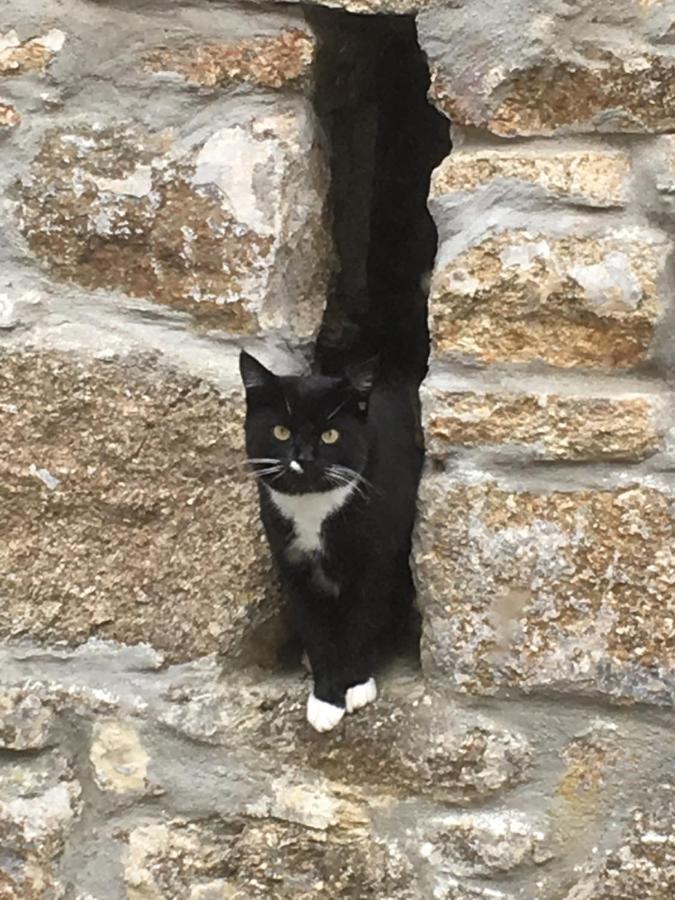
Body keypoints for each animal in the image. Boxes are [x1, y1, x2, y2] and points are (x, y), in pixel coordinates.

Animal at [240, 350, 422, 732]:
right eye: (281, 431)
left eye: (330, 435)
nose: (303, 458)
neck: (314, 510)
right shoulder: (292, 566)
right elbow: (315, 629)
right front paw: (325, 698)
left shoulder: (377, 564)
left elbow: (363, 619)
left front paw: (355, 684)